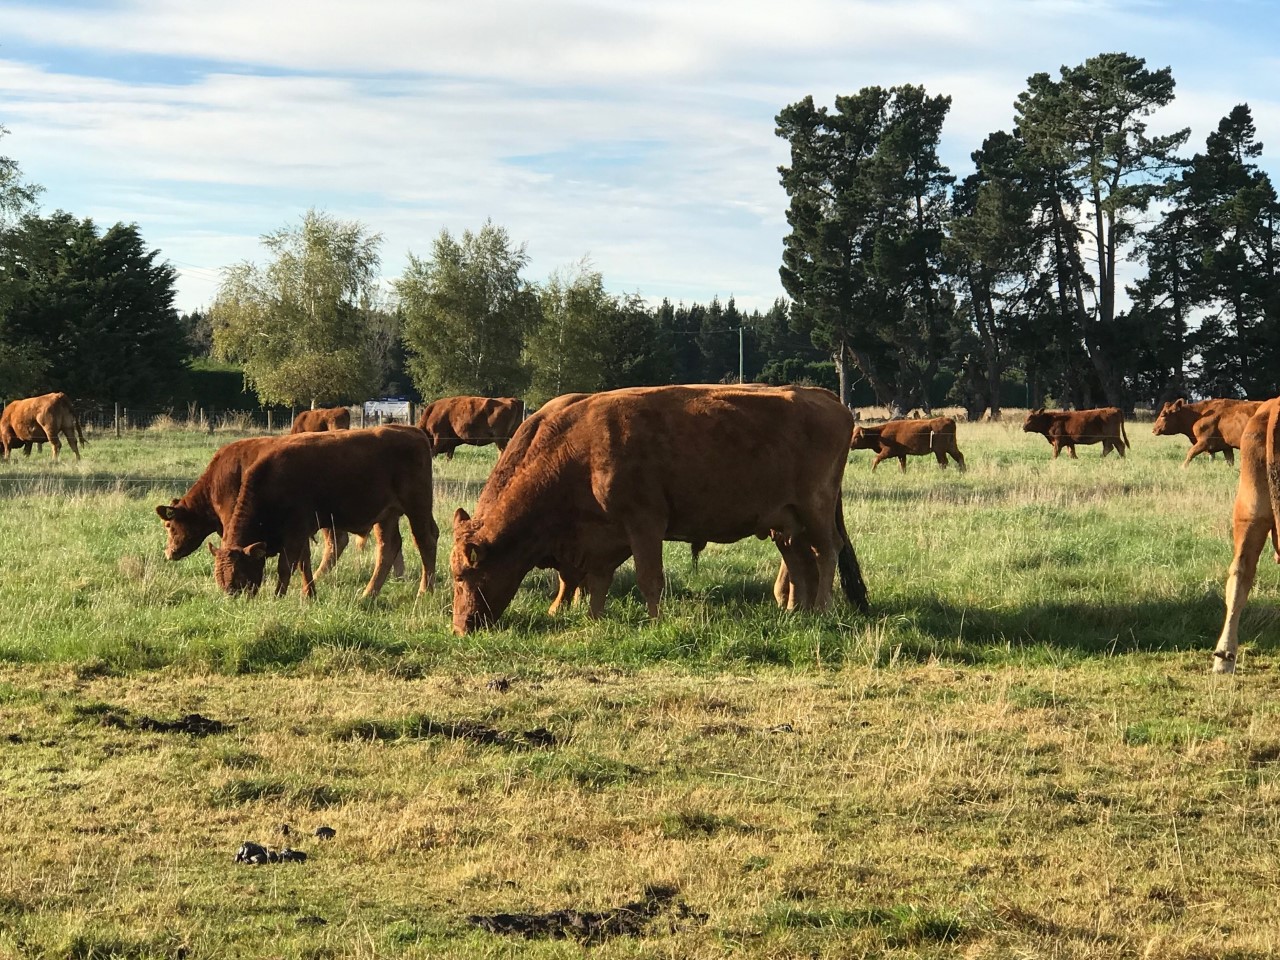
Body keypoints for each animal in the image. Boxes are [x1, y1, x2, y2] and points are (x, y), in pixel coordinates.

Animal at [208, 425, 437, 600]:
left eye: (239, 576)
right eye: (219, 579)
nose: (234, 598)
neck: (272, 480)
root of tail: (414, 432)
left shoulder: (296, 532)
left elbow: (286, 566)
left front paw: (278, 596)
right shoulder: (301, 535)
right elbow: (304, 564)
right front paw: (309, 594)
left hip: (417, 508)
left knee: (425, 542)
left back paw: (424, 592)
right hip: (386, 516)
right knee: (387, 548)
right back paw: (367, 595)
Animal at [450, 384, 868, 635]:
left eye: (464, 575)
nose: (461, 627)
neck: (577, 453)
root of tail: (830, 400)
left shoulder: (644, 525)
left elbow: (649, 578)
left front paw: (653, 621)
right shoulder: (603, 538)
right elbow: (594, 579)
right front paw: (593, 618)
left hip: (814, 510)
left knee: (827, 551)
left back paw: (821, 610)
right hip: (785, 521)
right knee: (801, 562)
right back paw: (796, 614)